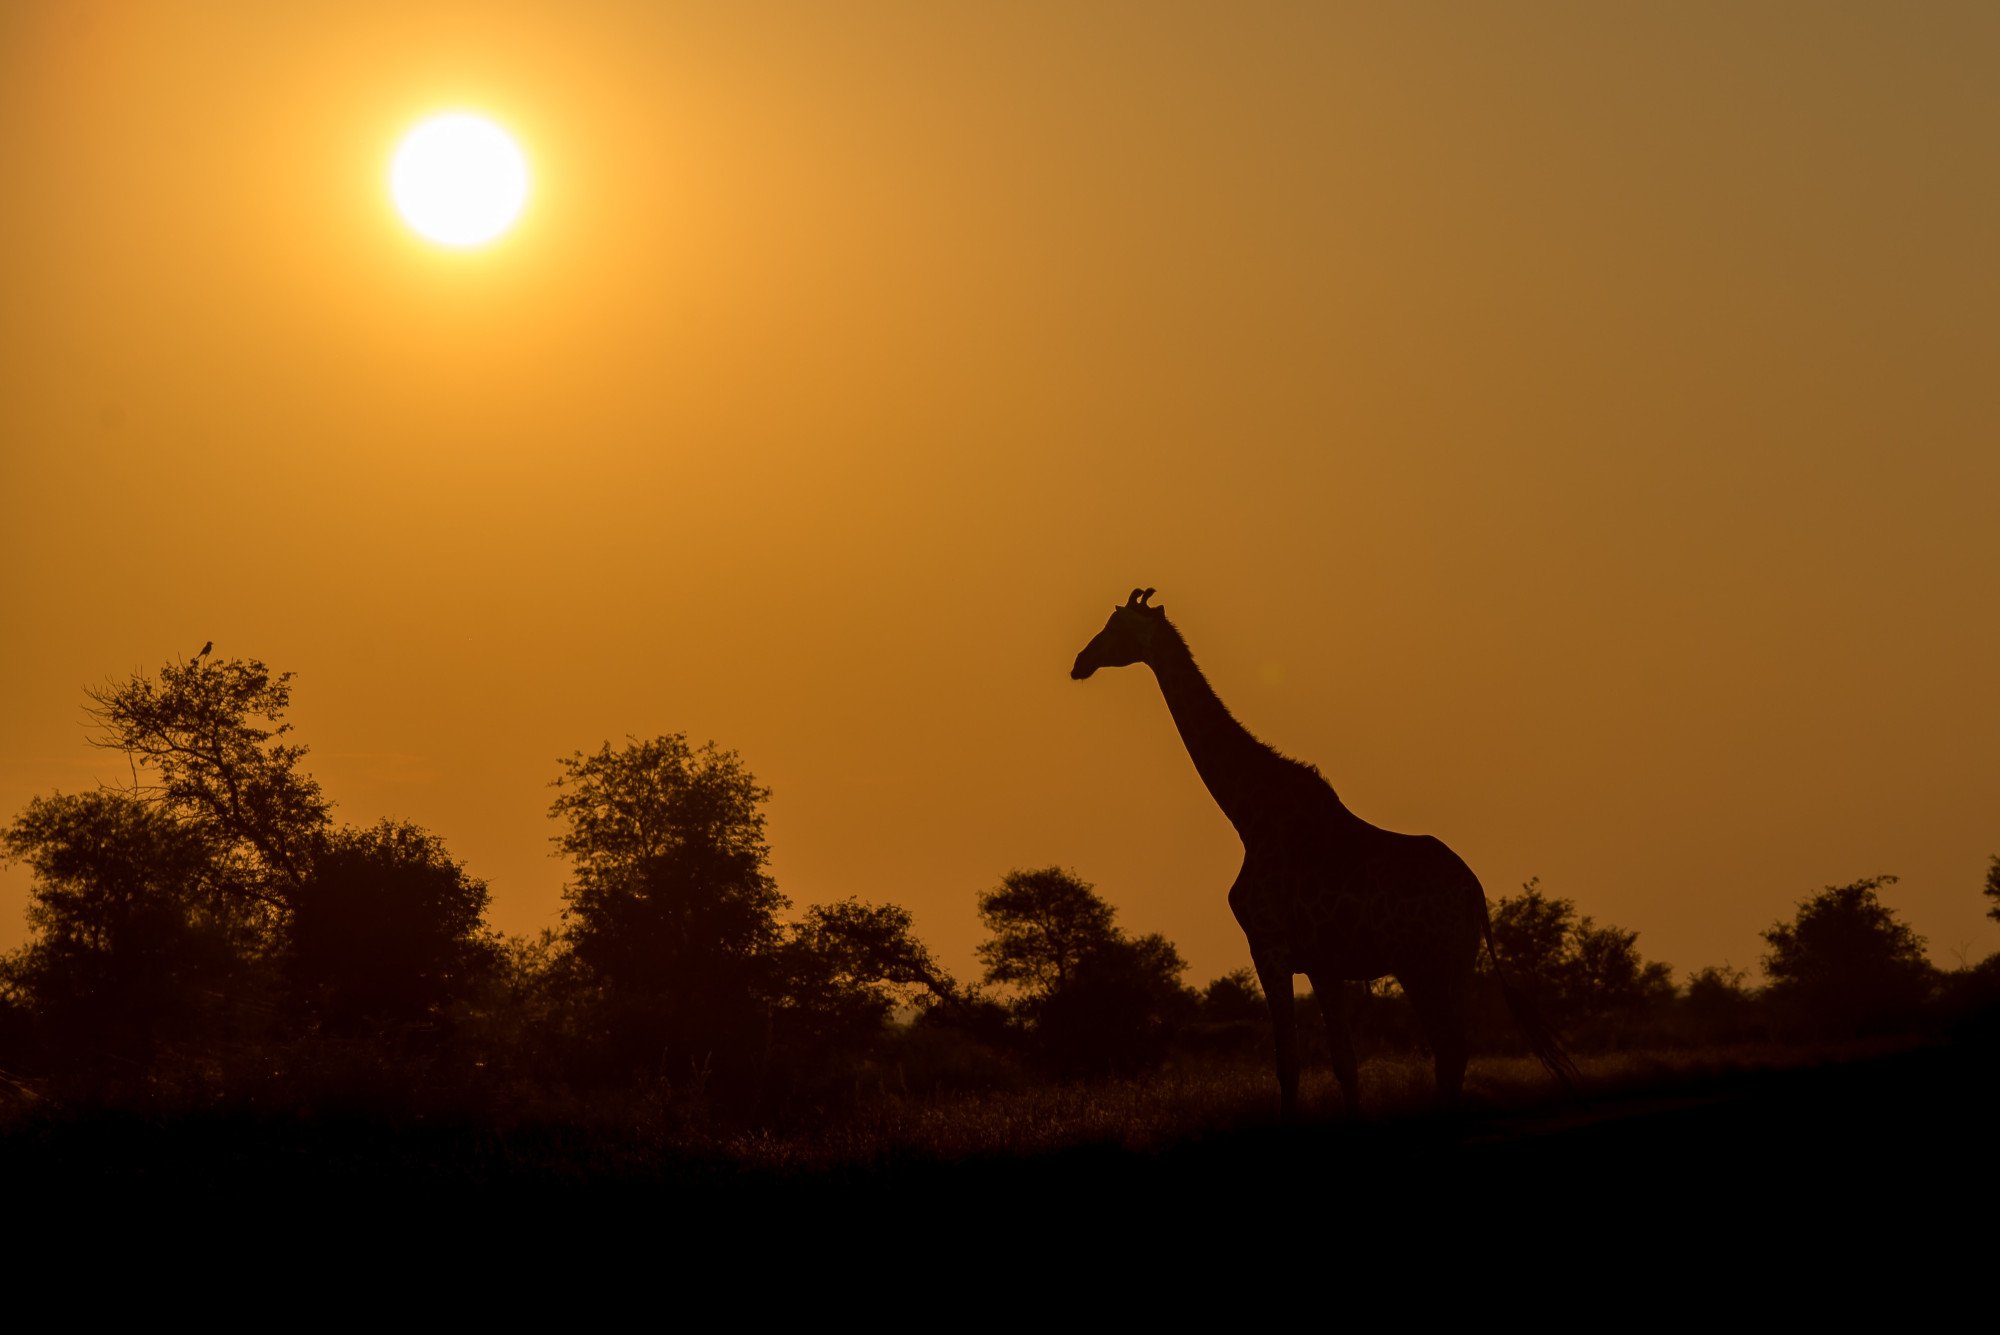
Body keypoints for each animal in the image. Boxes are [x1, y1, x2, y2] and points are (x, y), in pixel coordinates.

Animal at [1070, 587, 1576, 1118]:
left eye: (1116, 626)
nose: (1081, 661)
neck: (1249, 818)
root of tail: (1472, 889)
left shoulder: (1269, 946)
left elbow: (1289, 1065)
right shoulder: (1322, 963)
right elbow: (1344, 1065)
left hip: (1422, 962)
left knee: (1449, 1049)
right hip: (1456, 962)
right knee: (1453, 1050)